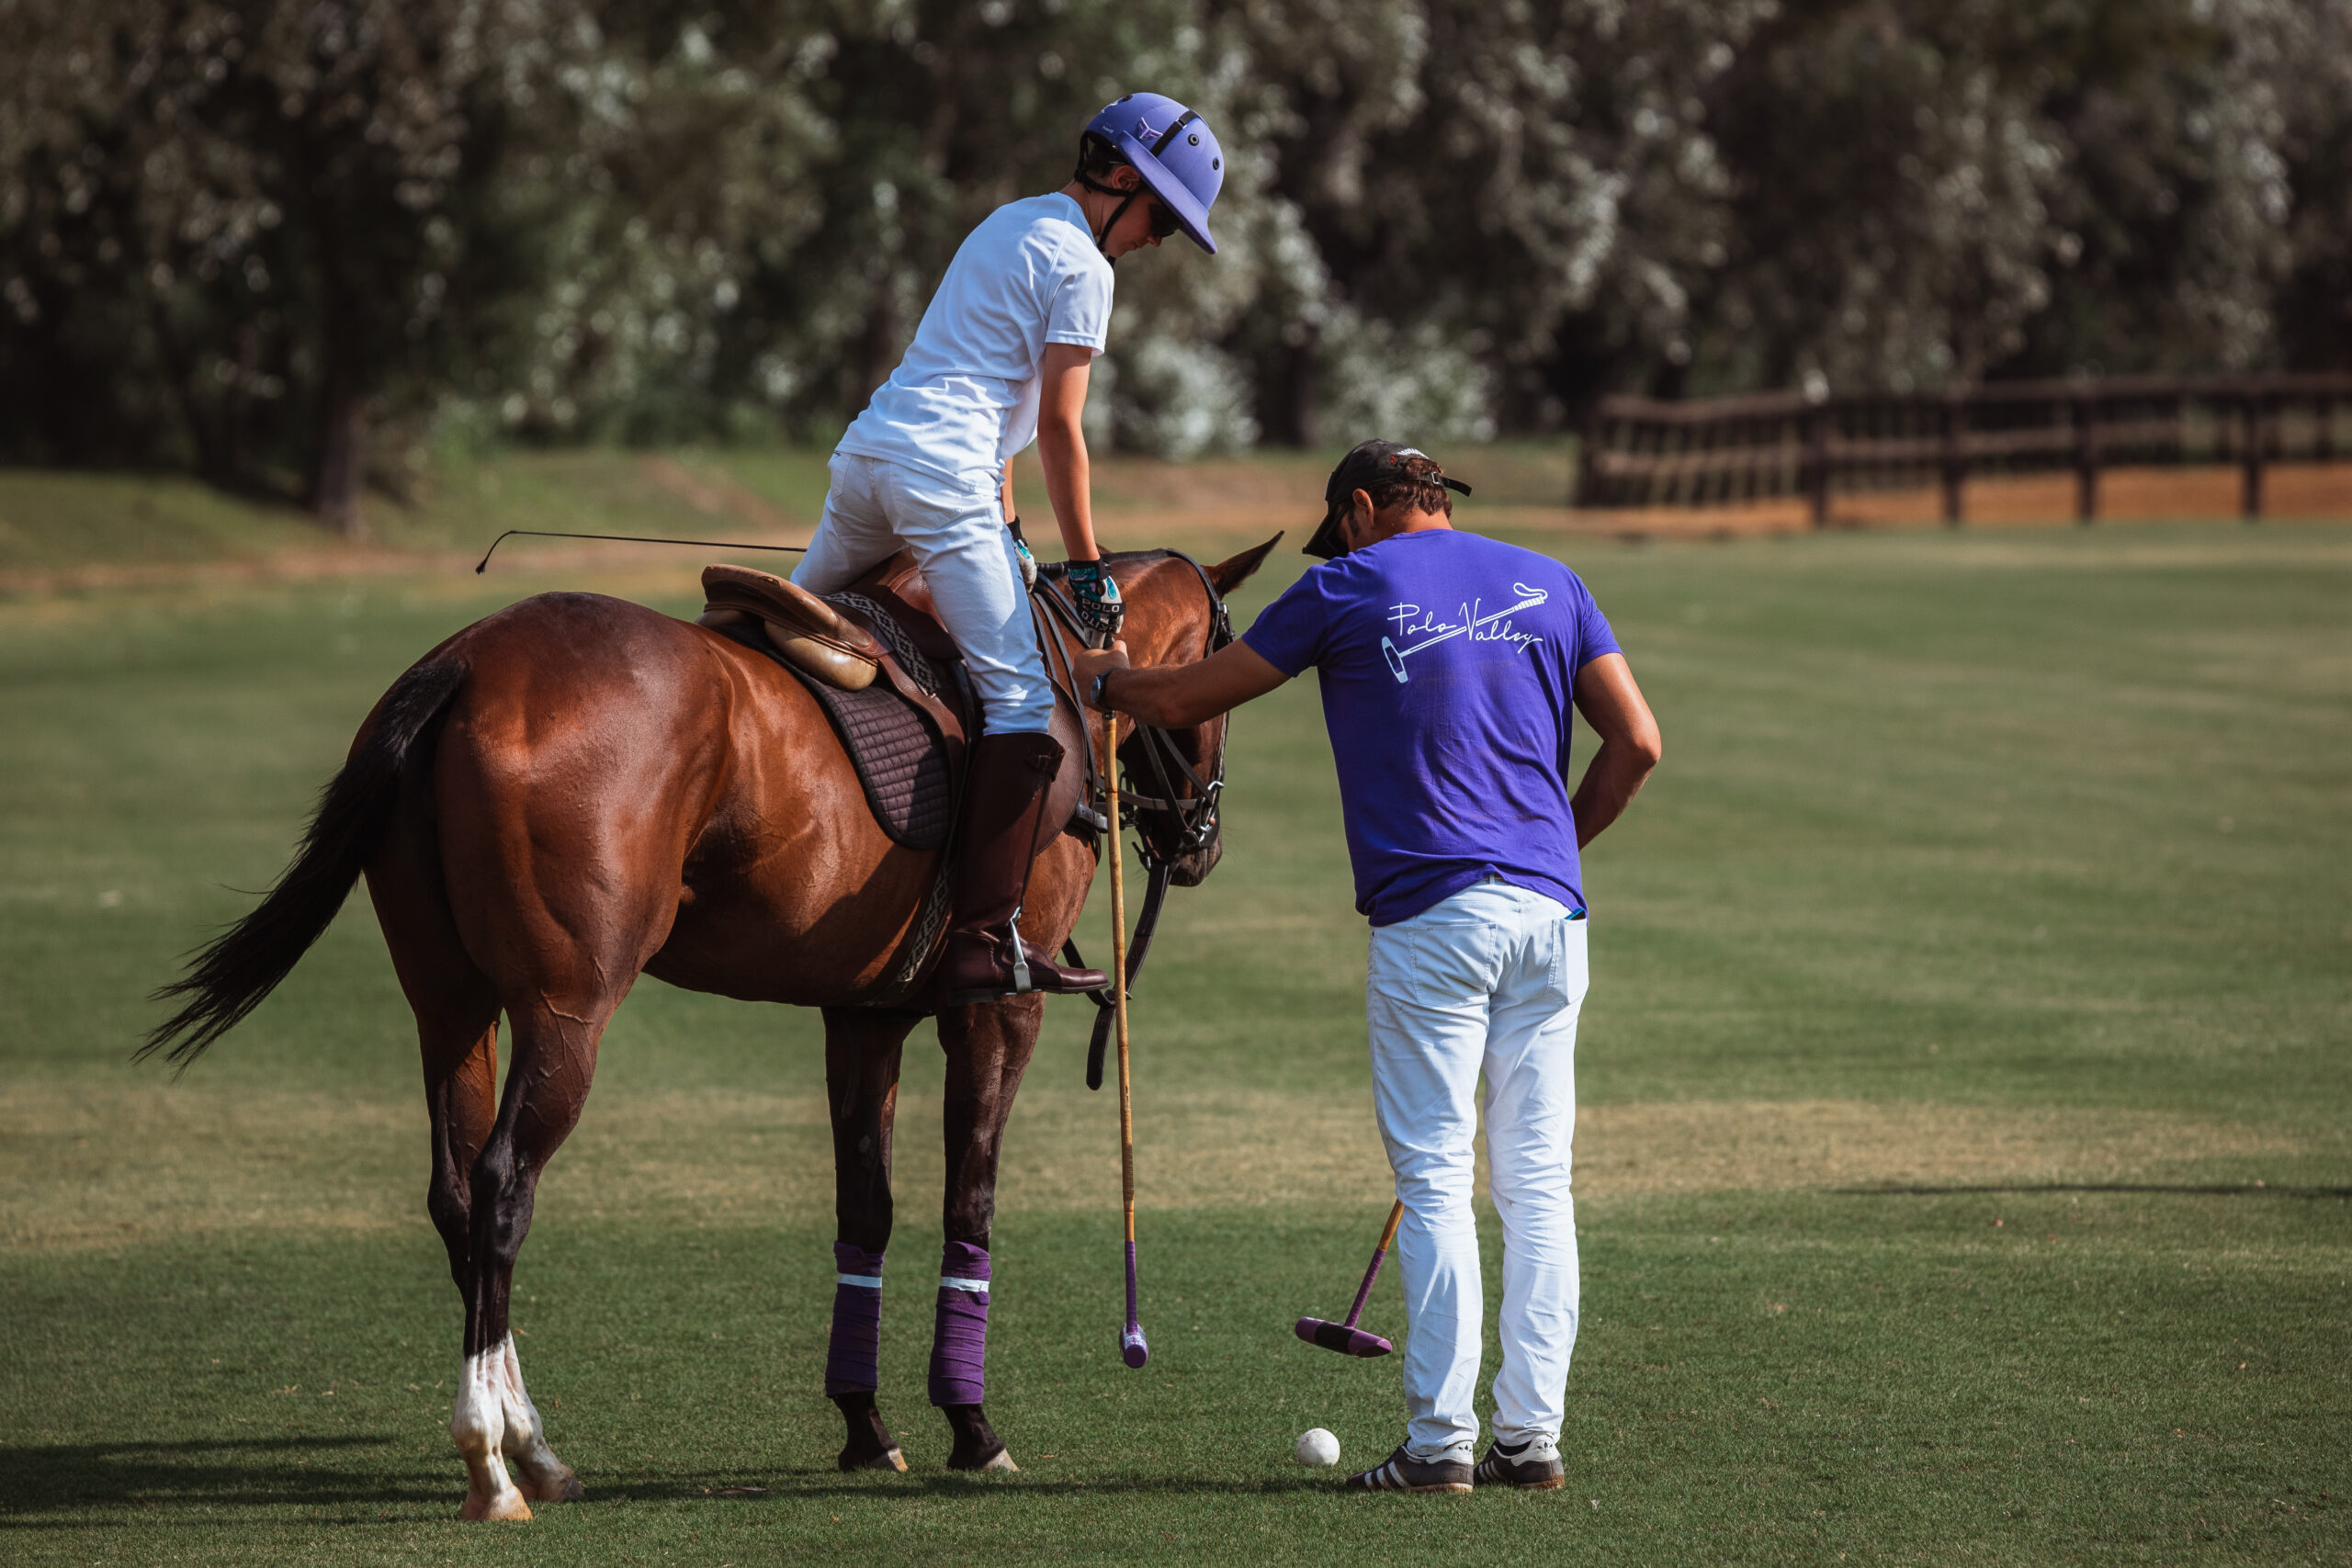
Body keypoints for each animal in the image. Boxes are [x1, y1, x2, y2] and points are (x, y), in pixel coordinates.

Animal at [141, 536, 1288, 1523]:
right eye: (1224, 678)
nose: (1200, 842)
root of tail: (459, 667)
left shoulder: (862, 1014)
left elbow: (865, 1209)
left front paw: (866, 1427)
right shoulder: (998, 1008)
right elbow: (970, 1200)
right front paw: (971, 1429)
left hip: (448, 1000)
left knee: (456, 1190)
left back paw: (532, 1449)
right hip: (568, 1006)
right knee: (505, 1185)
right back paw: (497, 1467)